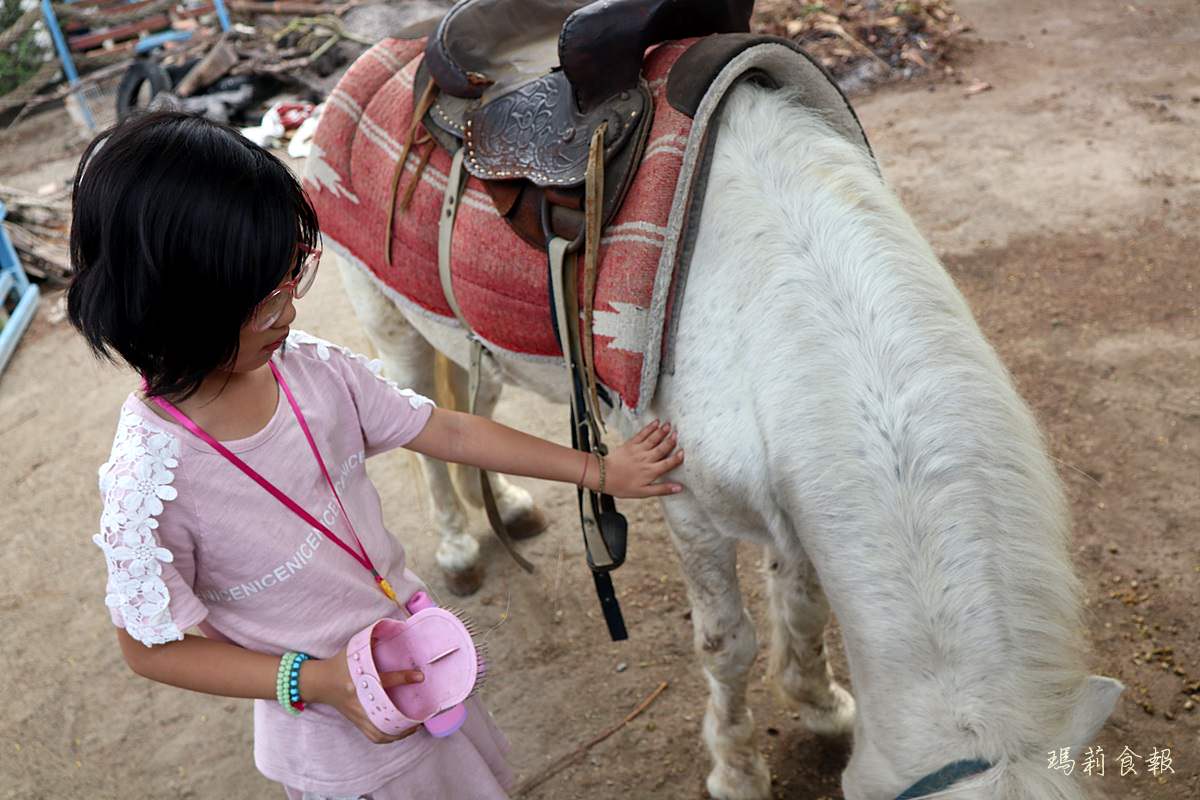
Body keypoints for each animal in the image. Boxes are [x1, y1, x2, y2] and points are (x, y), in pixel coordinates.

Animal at [328, 84, 1123, 796]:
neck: (780, 295)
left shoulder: (796, 507)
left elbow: (803, 610)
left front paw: (821, 706)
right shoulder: (690, 509)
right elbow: (727, 646)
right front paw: (737, 772)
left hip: (470, 346)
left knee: (469, 409)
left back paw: (510, 507)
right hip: (391, 322)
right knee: (415, 425)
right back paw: (458, 545)